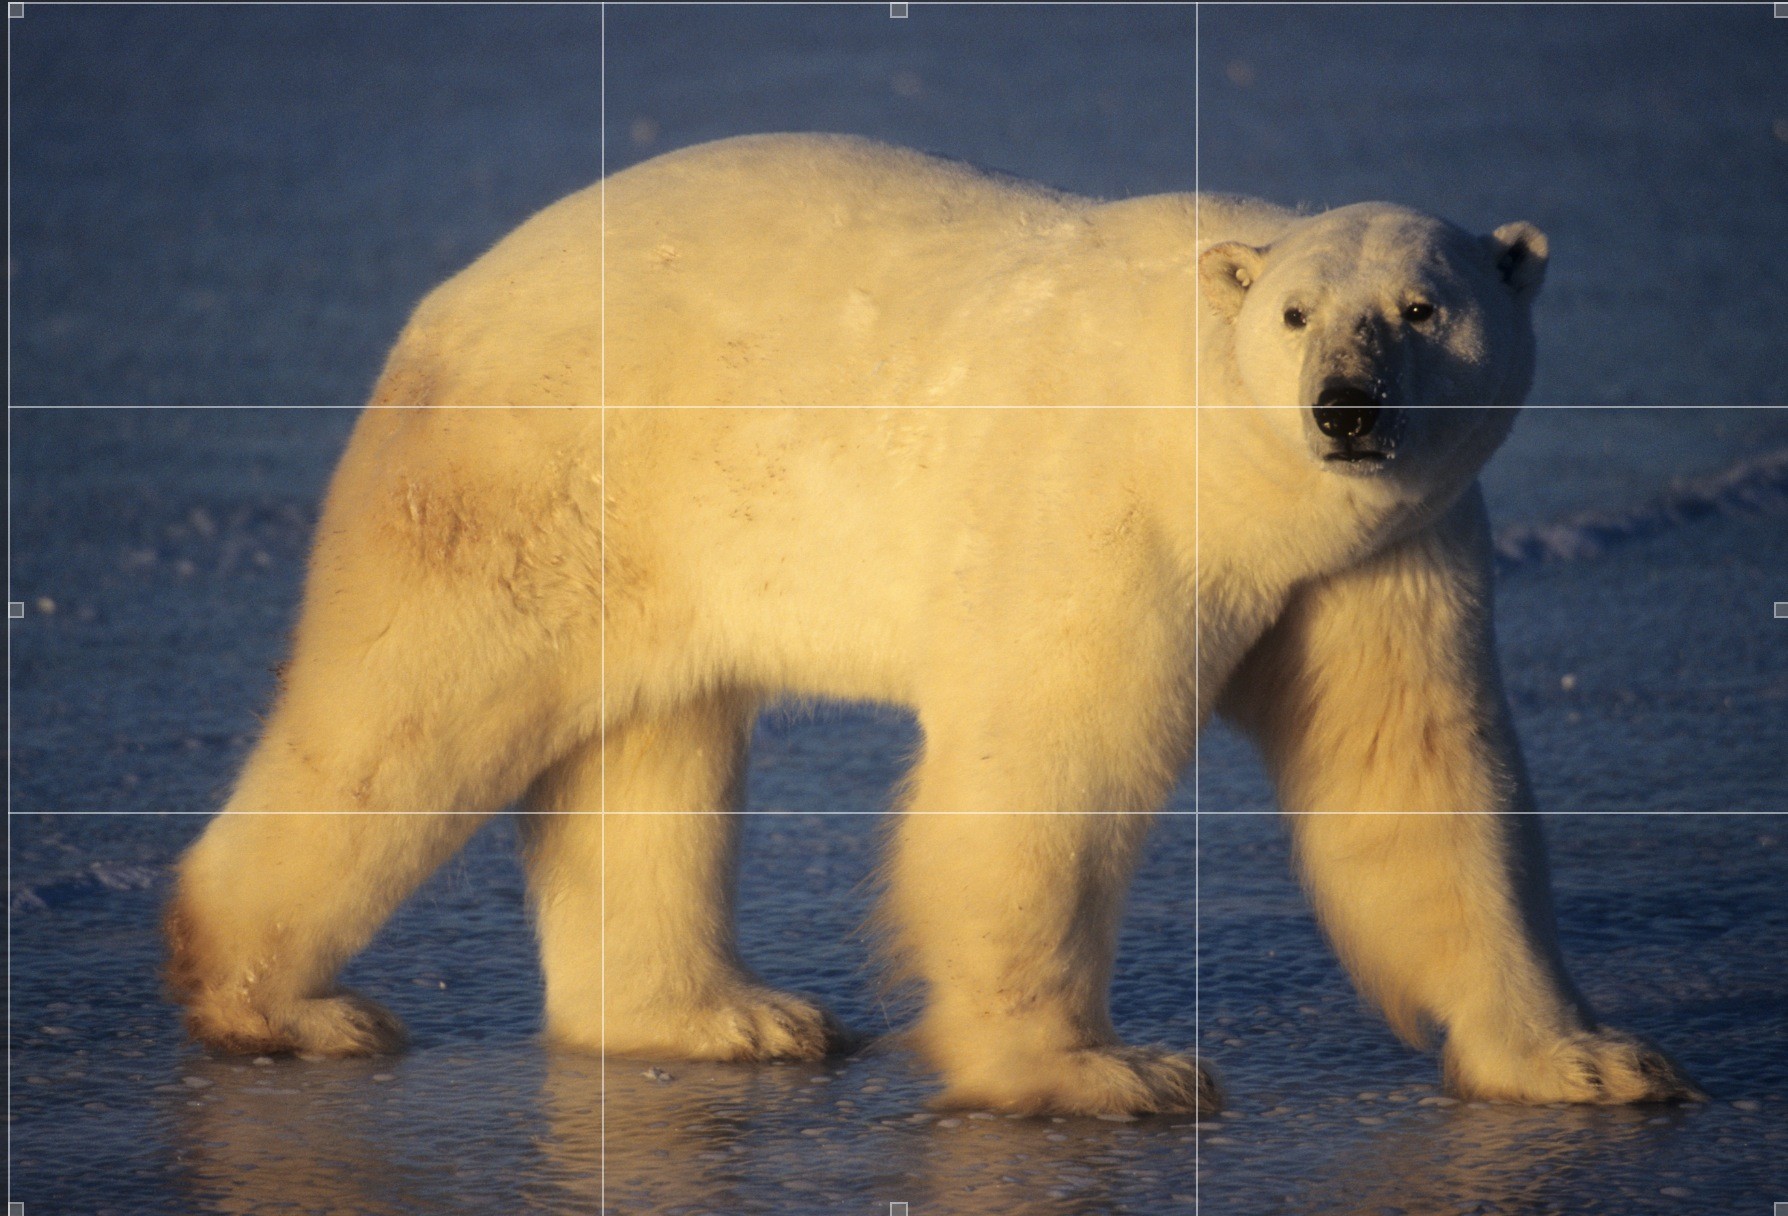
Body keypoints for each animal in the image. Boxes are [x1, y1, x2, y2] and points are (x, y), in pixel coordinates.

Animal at [166, 134, 1701, 1116]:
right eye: (1296, 314)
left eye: (1423, 306)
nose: (1347, 408)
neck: (1235, 469)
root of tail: (450, 294)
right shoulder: (1107, 508)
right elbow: (1048, 765)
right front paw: (1102, 1072)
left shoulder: (1384, 554)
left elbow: (1420, 777)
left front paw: (1591, 1059)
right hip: (535, 472)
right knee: (408, 713)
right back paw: (279, 1002)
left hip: (651, 539)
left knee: (653, 754)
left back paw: (726, 1016)